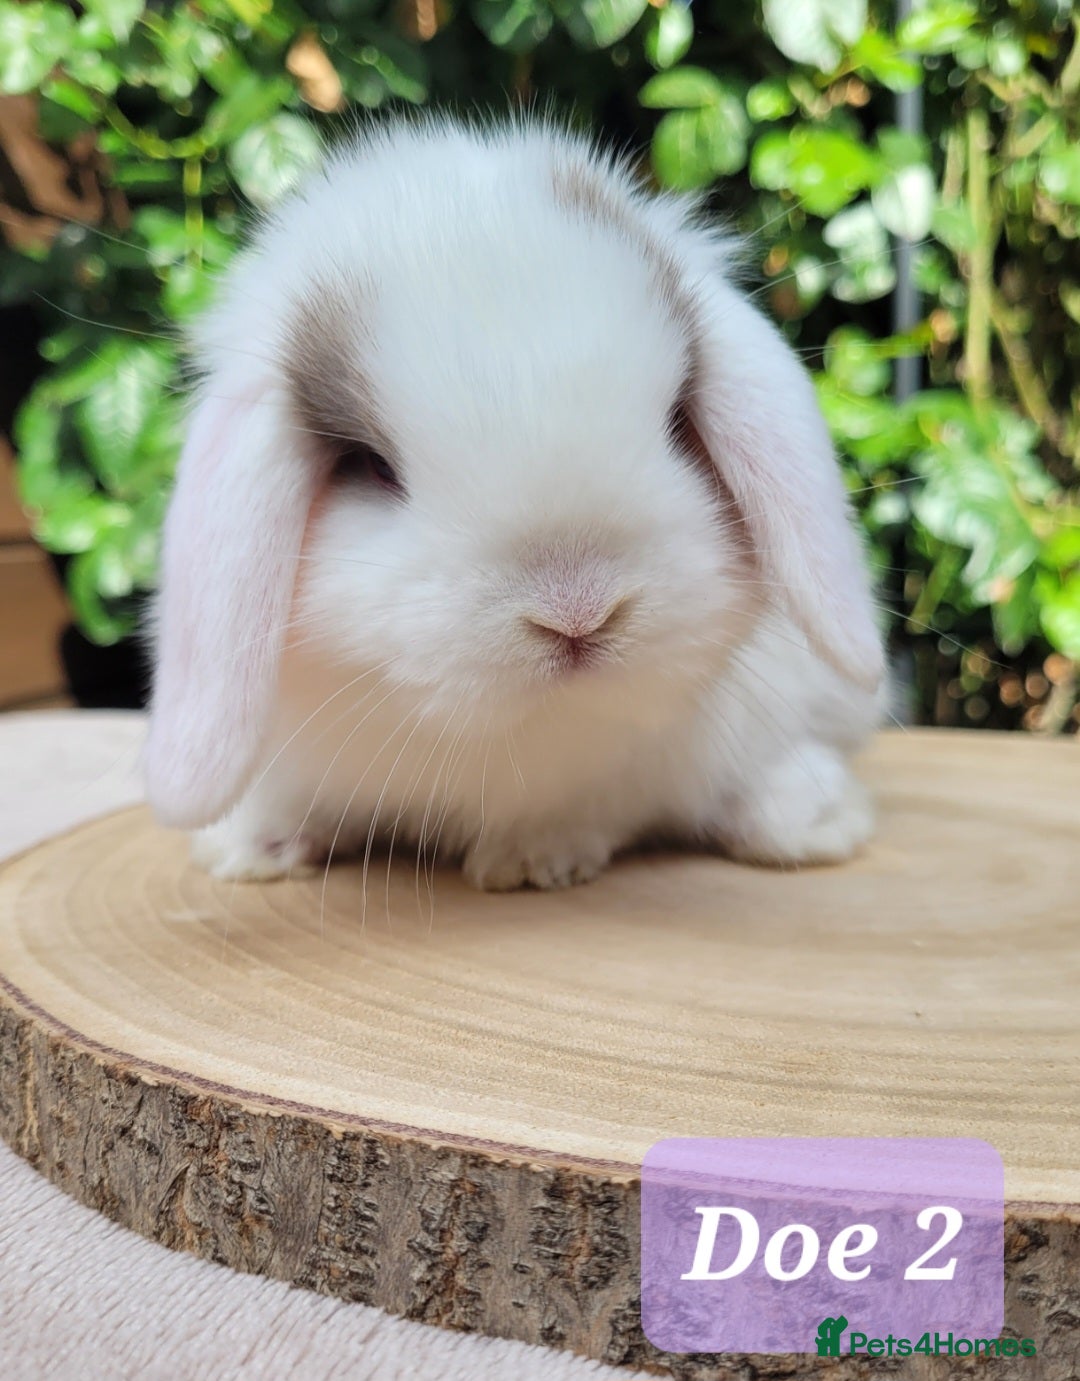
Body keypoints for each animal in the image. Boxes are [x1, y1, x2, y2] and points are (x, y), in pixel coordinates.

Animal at [142, 112, 886, 893]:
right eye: (370, 465)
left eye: (677, 418)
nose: (577, 613)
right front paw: (244, 847)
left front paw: (533, 859)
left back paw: (813, 818)